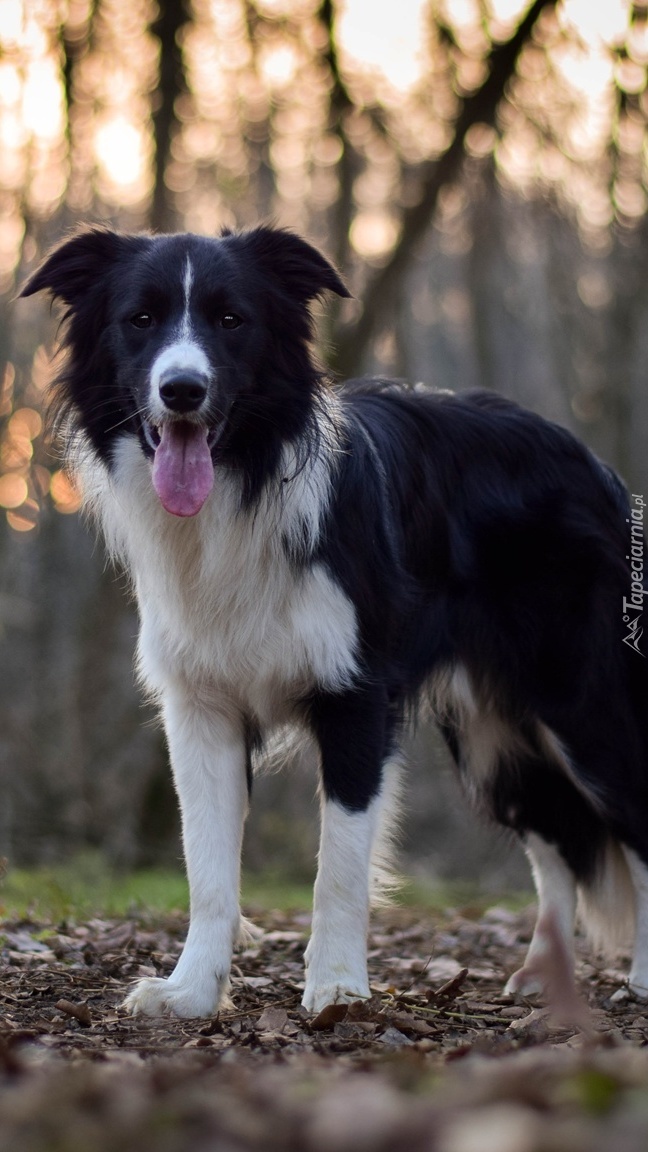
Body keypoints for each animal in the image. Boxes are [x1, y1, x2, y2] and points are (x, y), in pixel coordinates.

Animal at [20, 226, 645, 1018]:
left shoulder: (355, 697)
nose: (182, 390)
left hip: (580, 706)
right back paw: (542, 976)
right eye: (141, 320)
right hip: (490, 733)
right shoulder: (201, 710)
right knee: (555, 839)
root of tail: (592, 462)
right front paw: (190, 992)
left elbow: (340, 867)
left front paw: (338, 989)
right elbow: (208, 870)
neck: (241, 487)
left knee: (633, 819)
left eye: (231, 320)